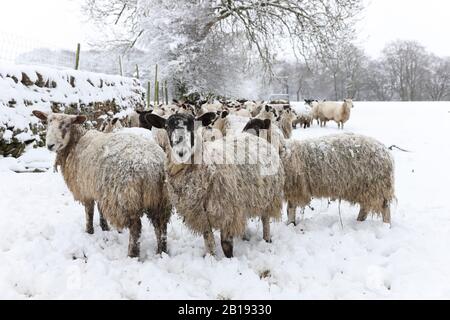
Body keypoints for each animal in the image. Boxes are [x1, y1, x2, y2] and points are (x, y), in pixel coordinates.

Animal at [32, 110, 172, 258]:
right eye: (47, 123)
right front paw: (105, 228)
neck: (75, 143)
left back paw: (132, 254)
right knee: (161, 226)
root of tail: (154, 164)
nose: (50, 145)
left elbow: (89, 212)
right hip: (161, 200)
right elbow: (100, 210)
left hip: (126, 199)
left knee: (136, 227)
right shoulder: (98, 189)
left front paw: (89, 231)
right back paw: (161, 251)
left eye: (66, 125)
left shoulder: (85, 189)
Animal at [145, 112, 284, 258]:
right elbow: (209, 240)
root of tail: (251, 134)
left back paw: (267, 239)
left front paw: (229, 259)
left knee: (265, 219)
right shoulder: (201, 215)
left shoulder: (227, 211)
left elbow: (226, 244)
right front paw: (211, 257)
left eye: (194, 125)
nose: (180, 152)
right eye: (166, 127)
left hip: (269, 195)